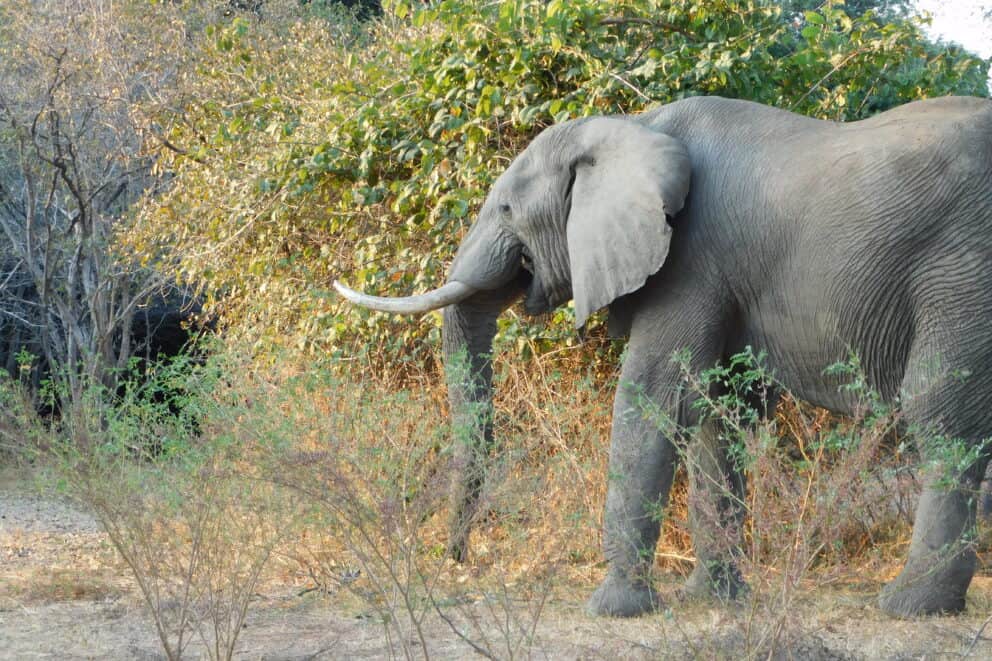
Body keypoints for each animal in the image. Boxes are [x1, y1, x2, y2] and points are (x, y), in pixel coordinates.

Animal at [334, 95, 992, 618]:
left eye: (505, 210)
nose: (457, 558)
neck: (631, 128)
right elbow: (718, 412)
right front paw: (712, 600)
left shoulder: (691, 259)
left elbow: (656, 396)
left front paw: (614, 609)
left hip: (959, 276)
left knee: (940, 415)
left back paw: (909, 606)